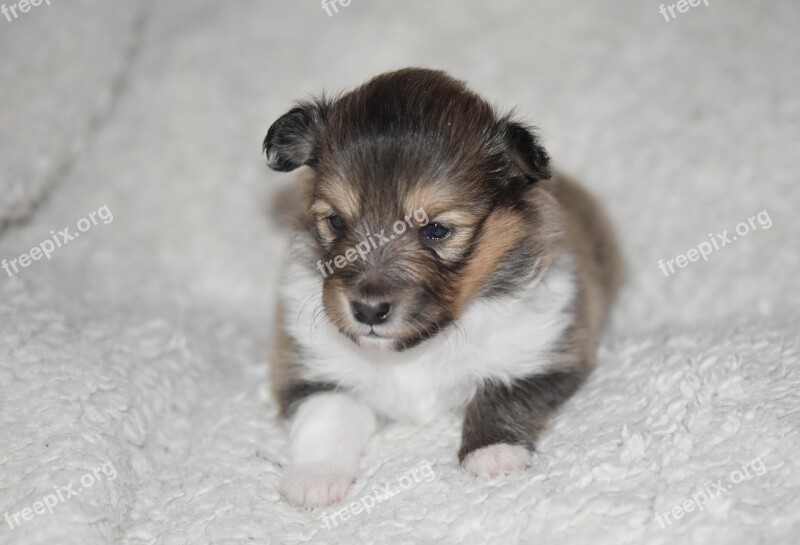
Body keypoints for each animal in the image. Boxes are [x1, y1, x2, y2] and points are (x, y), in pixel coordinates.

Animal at [266, 67, 620, 506]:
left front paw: (493, 453)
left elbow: (503, 392)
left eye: (436, 229)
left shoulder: (543, 352)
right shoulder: (311, 368)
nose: (367, 310)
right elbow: (328, 413)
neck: (415, 353)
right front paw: (314, 478)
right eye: (335, 221)